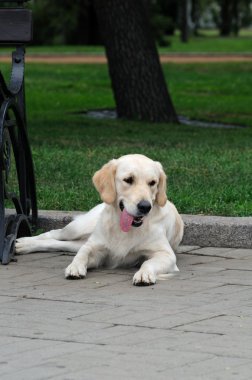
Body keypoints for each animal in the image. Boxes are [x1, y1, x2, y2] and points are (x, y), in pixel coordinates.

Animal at [16, 154, 184, 284]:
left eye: (153, 183)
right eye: (128, 179)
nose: (145, 206)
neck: (124, 229)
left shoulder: (166, 254)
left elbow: (148, 262)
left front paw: (144, 274)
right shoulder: (96, 248)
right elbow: (82, 254)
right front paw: (74, 267)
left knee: (59, 244)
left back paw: (22, 246)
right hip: (78, 228)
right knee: (53, 233)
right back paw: (23, 242)